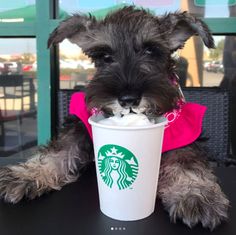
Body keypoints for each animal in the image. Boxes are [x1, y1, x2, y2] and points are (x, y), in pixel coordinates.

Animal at [0, 6, 229, 230]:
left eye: (150, 50)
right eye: (105, 56)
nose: (128, 99)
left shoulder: (185, 136)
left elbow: (188, 165)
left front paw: (196, 195)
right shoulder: (79, 127)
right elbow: (57, 152)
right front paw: (26, 174)